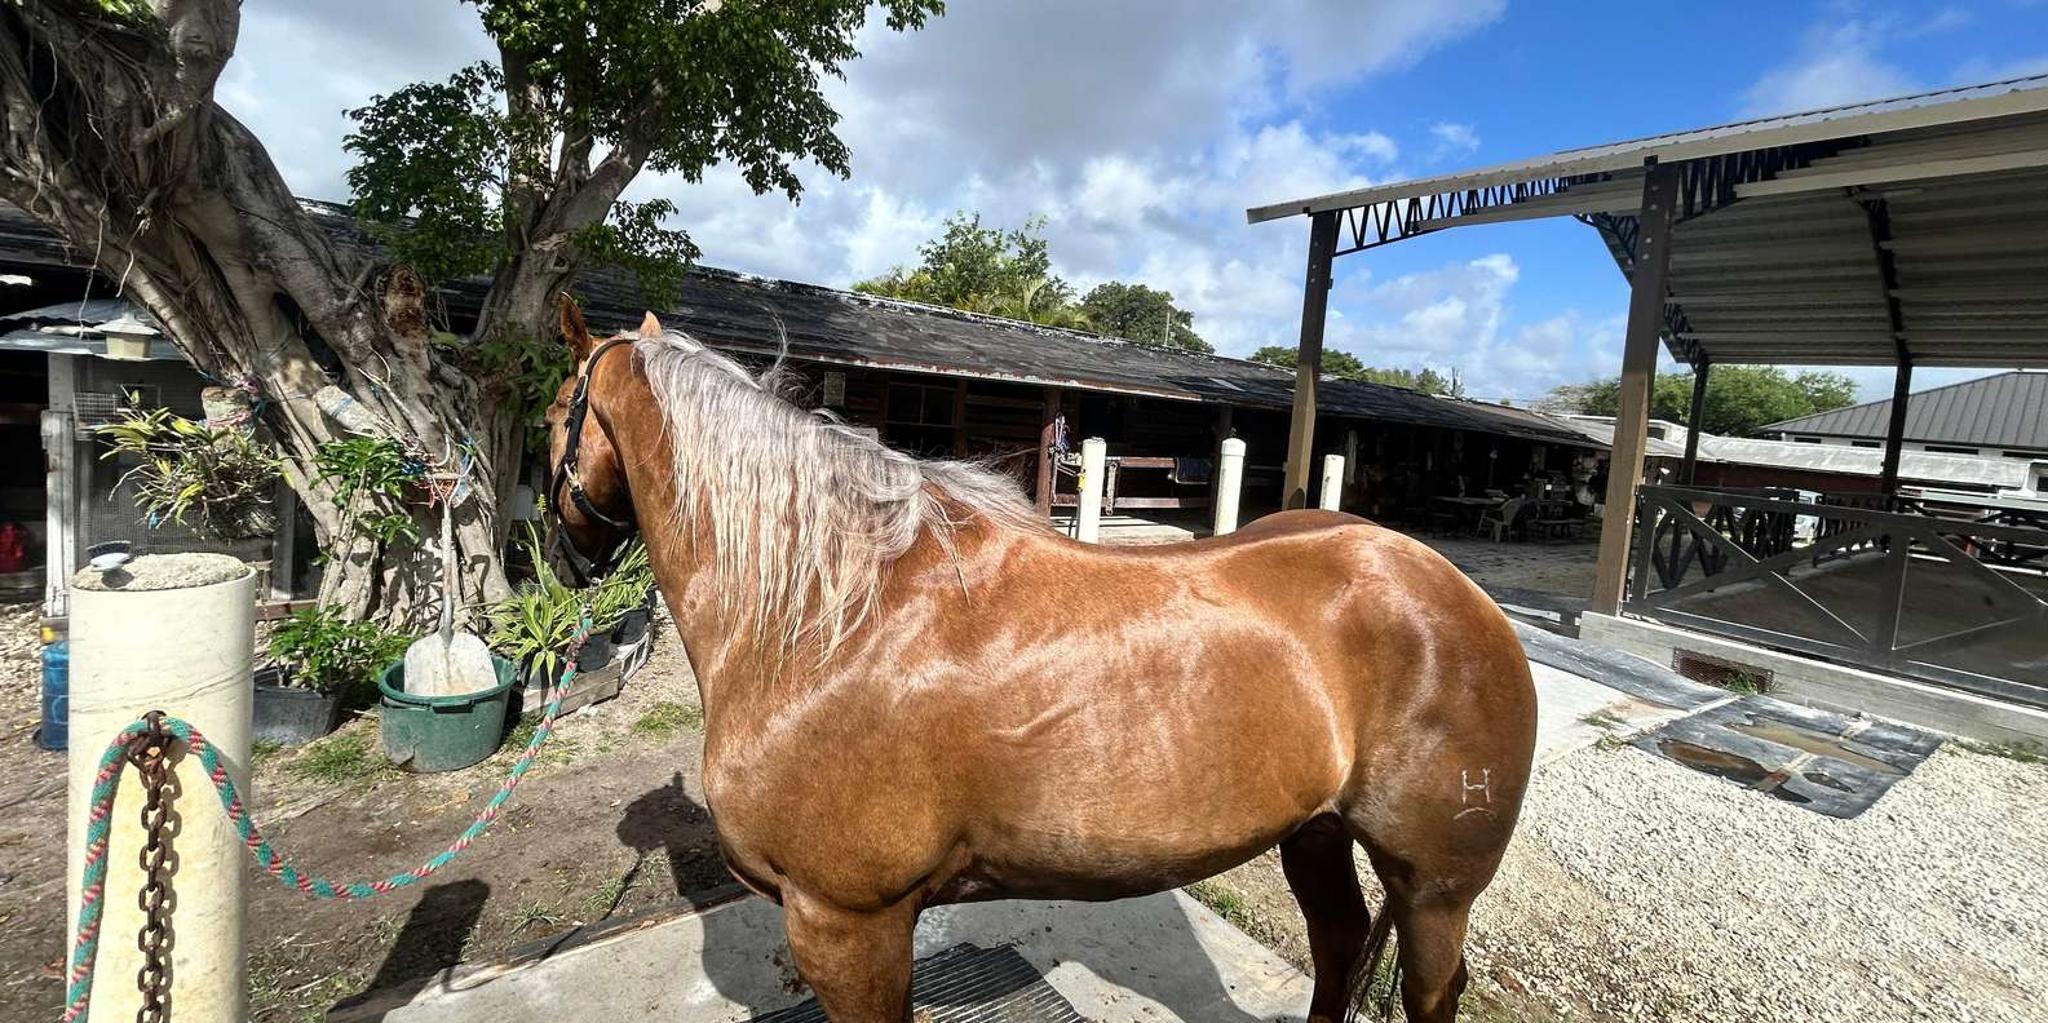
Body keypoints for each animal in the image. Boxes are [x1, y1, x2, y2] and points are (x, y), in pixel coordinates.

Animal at [543, 301, 1538, 1023]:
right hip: (1316, 834)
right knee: (1337, 946)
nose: (562, 560)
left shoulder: (846, 926)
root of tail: (1462, 593)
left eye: (555, 413)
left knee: (1428, 989)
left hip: (1435, 888)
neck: (831, 616)